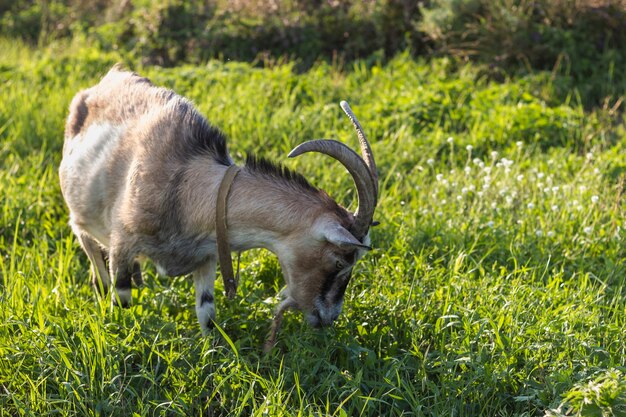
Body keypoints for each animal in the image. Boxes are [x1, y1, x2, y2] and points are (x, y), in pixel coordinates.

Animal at [61, 66, 378, 338]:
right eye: (340, 260)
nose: (328, 317)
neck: (189, 189)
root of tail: (100, 84)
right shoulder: (123, 245)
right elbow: (122, 299)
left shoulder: (206, 256)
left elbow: (207, 311)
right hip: (80, 219)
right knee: (92, 255)